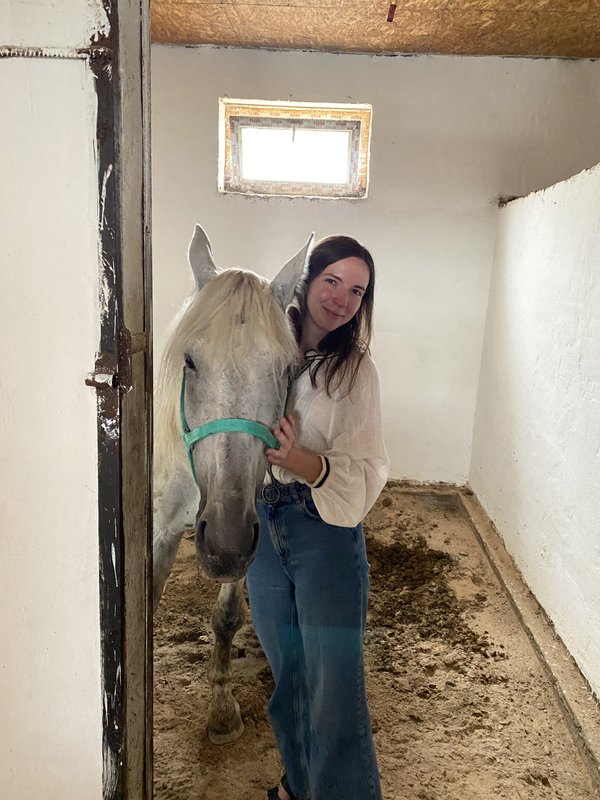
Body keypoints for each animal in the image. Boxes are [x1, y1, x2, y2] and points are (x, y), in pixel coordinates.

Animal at [153, 224, 313, 744]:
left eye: (287, 368)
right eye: (190, 361)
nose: (223, 543)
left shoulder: (244, 536)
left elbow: (226, 619)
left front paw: (221, 709)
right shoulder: (160, 534)